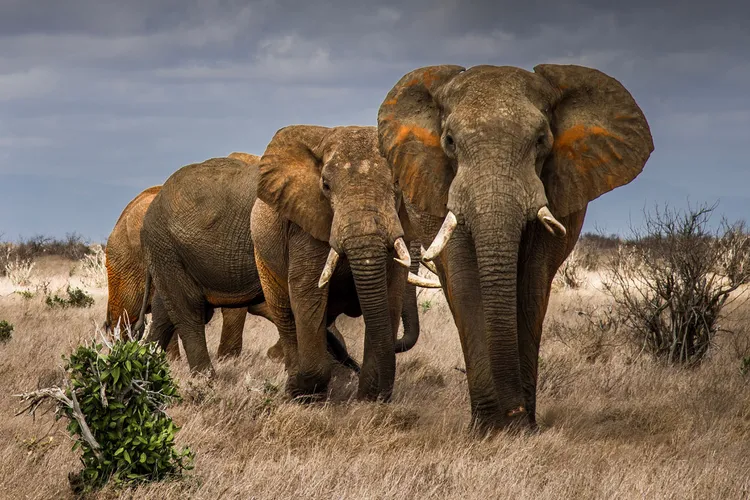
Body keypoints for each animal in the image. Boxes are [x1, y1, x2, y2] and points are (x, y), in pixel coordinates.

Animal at [251, 125, 439, 402]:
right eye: (325, 186)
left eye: (396, 183)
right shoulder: (305, 227)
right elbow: (307, 292)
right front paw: (302, 392)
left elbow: (389, 298)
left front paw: (369, 400)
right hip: (262, 258)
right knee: (285, 313)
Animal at [377, 64, 654, 430]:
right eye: (449, 141)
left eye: (541, 141)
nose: (514, 414)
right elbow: (466, 286)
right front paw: (487, 429)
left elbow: (532, 285)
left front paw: (522, 429)